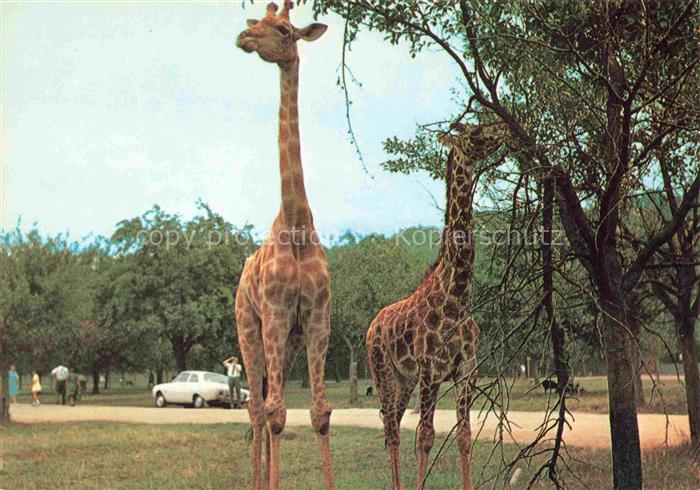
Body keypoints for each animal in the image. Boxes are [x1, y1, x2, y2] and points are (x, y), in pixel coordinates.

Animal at [366, 123, 510, 490]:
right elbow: (426, 437)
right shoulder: (431, 372)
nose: (503, 129)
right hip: (383, 372)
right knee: (391, 428)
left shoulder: (466, 372)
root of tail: (372, 326)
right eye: (475, 132)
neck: (456, 297)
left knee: (393, 424)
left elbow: (464, 436)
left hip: (404, 380)